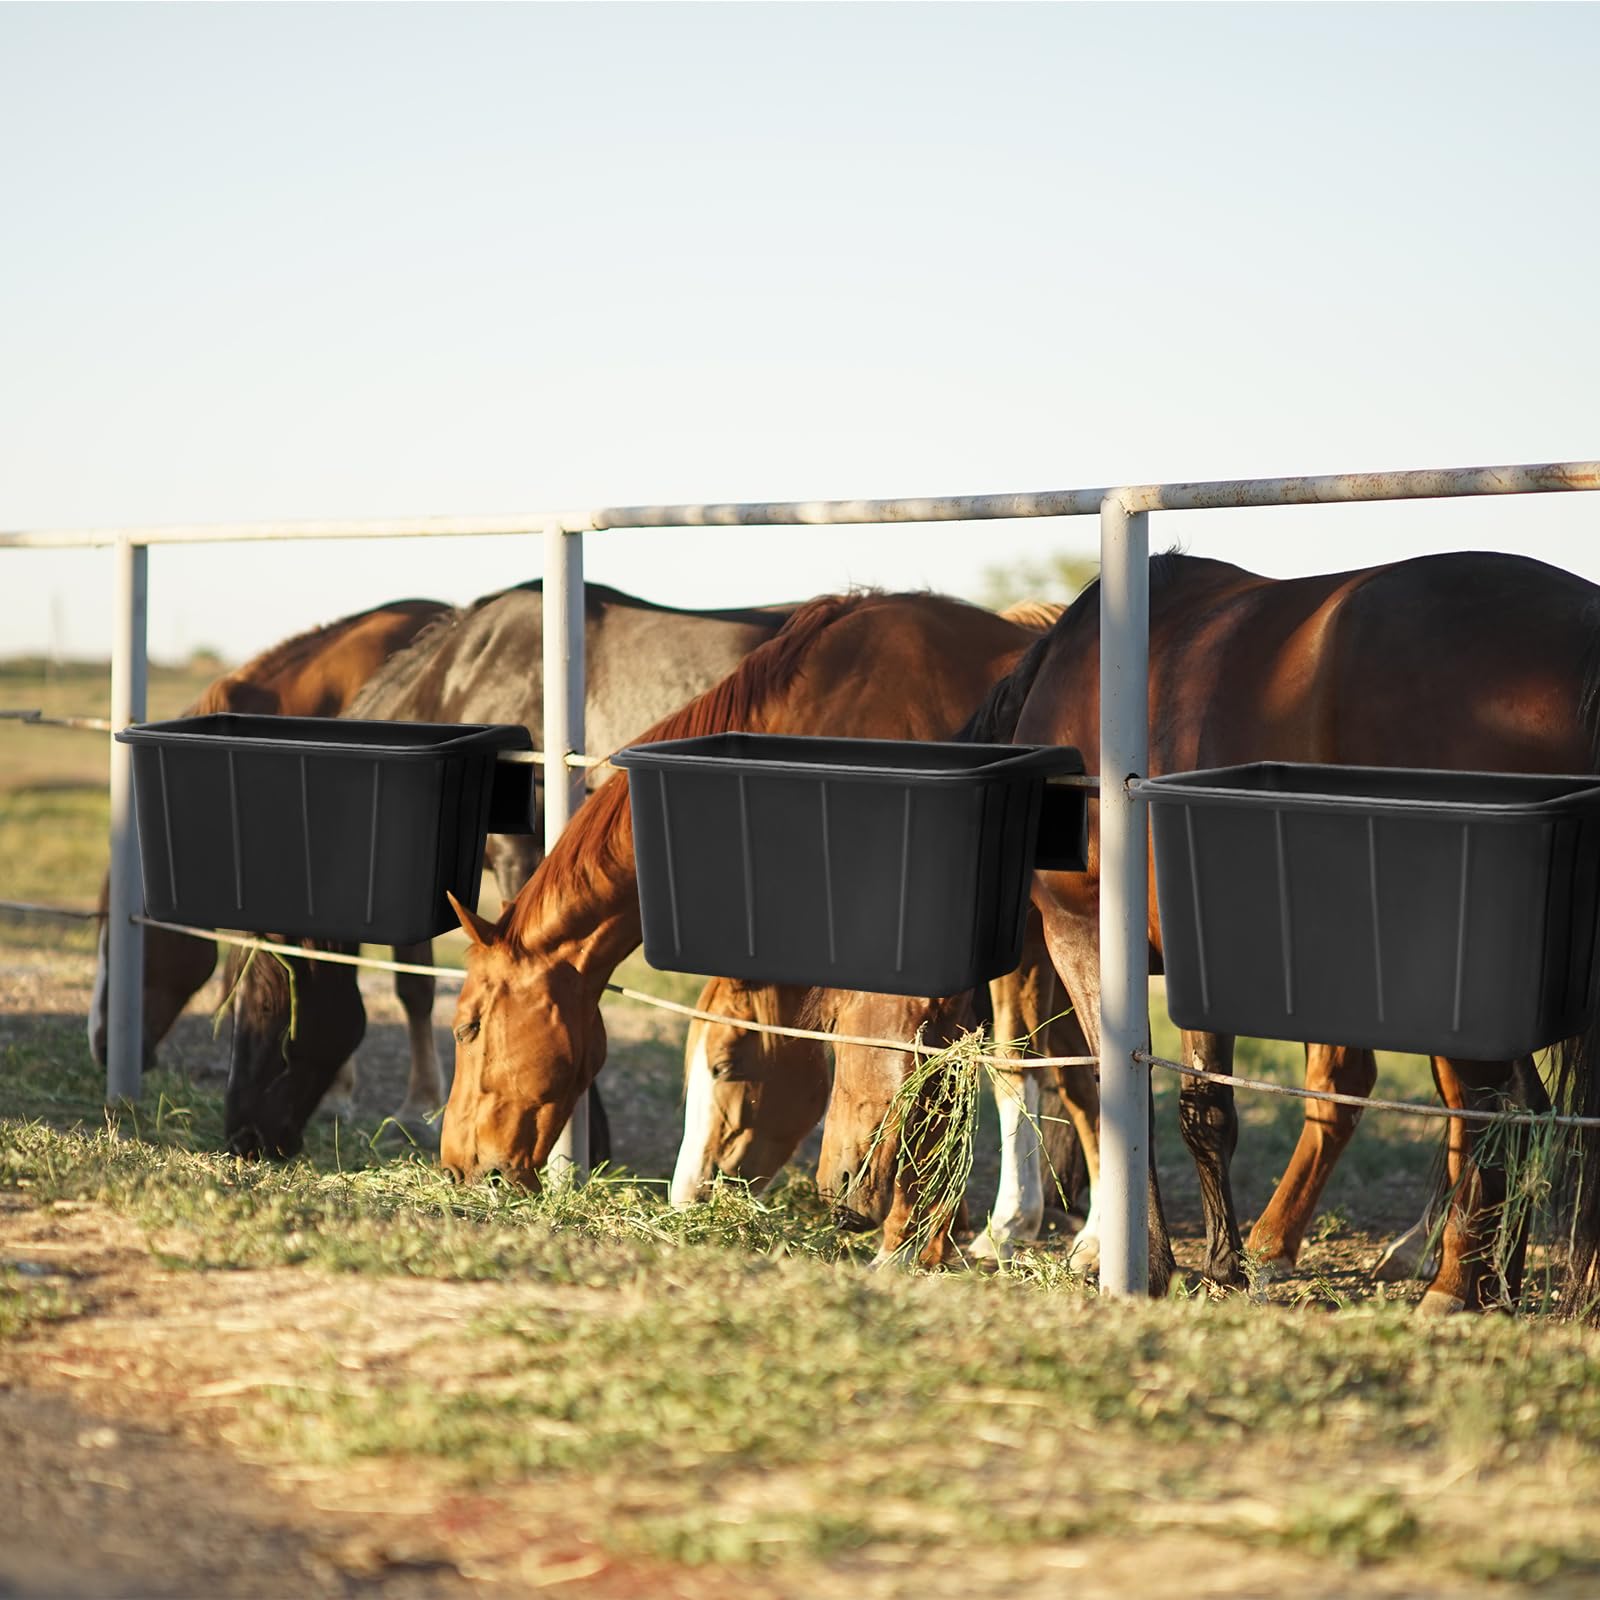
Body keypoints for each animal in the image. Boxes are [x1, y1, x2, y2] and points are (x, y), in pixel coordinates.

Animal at [957, 549, 1600, 1313]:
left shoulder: (1082, 935)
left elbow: (1129, 1094)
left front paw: (1150, 1264)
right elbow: (1205, 1107)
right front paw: (1222, 1266)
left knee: (1505, 1110)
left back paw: (1455, 1286)